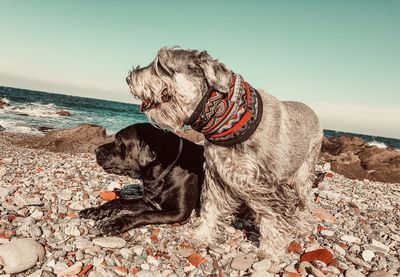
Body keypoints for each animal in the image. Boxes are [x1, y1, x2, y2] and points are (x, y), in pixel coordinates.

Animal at [126, 47, 324, 260]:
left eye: (161, 65)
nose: (129, 78)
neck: (229, 116)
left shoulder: (267, 184)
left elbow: (272, 218)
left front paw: (271, 251)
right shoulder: (216, 175)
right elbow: (210, 208)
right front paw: (201, 235)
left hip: (304, 173)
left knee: (304, 202)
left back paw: (303, 225)